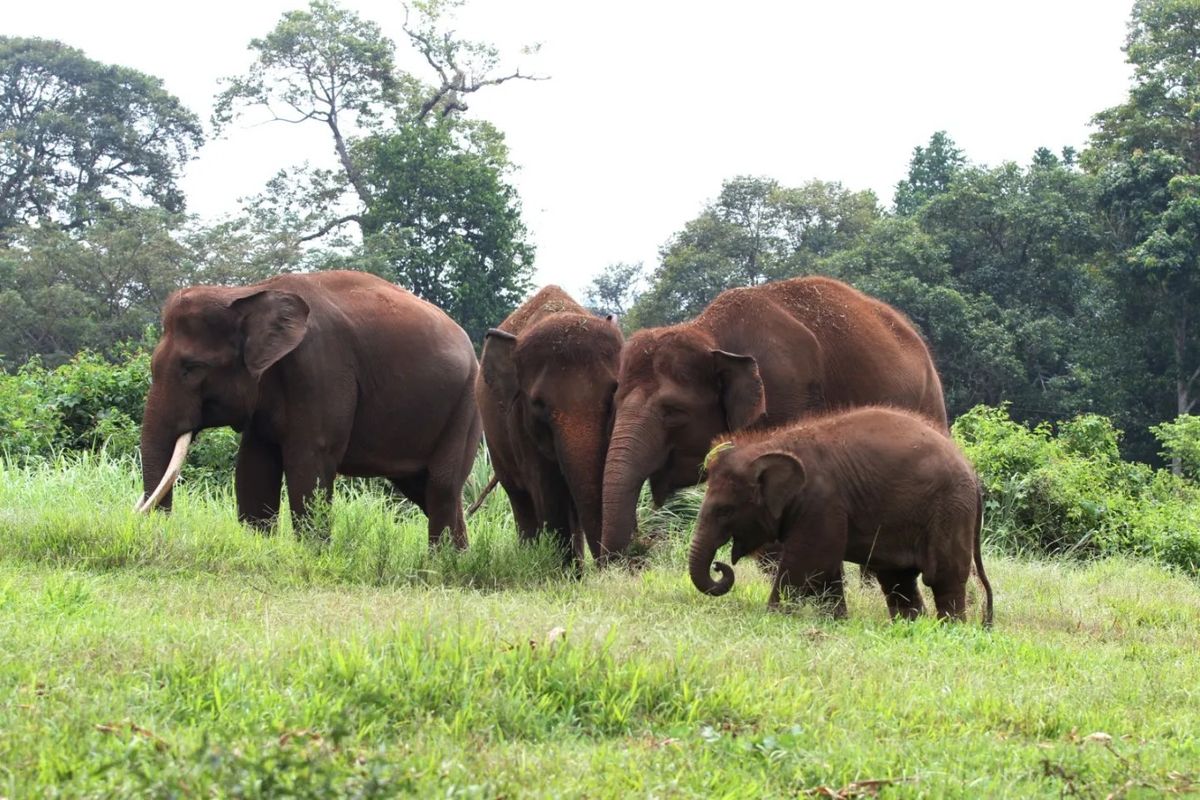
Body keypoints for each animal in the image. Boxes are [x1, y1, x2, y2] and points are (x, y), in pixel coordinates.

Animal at [137, 272, 482, 546]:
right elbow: (253, 466)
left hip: (467, 403)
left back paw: (441, 564)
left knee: (442, 485)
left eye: (192, 369)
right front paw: (259, 547)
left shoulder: (321, 369)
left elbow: (309, 461)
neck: (249, 292)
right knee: (424, 488)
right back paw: (458, 558)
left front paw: (311, 553)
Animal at [475, 284, 624, 566]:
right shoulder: (520, 424)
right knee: (521, 500)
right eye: (539, 404)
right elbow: (547, 491)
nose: (607, 567)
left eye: (613, 393)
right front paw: (564, 570)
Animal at [600, 272, 945, 561]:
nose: (644, 543)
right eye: (614, 404)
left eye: (672, 411)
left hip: (930, 402)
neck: (709, 331)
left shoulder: (786, 391)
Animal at [691, 410, 988, 628]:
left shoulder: (822, 502)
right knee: (897, 578)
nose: (718, 566)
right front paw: (838, 622)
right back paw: (909, 627)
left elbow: (809, 562)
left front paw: (772, 616)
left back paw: (950, 629)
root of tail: (973, 472)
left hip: (950, 511)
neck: (772, 442)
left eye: (725, 510)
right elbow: (826, 566)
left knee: (943, 577)